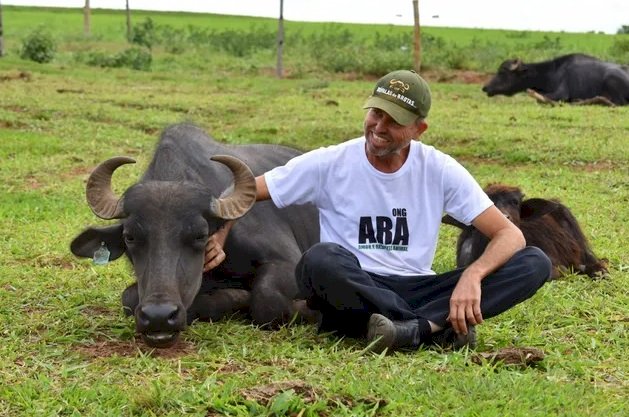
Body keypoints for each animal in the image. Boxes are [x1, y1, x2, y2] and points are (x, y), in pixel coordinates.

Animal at [70, 123, 318, 348]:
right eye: (129, 237)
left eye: (200, 235)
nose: (159, 316)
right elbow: (128, 300)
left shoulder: (287, 261)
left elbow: (267, 299)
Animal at [480, 53, 628, 106]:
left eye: (502, 73)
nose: (485, 87)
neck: (552, 72)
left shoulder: (562, 93)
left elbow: (542, 98)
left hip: (611, 80)